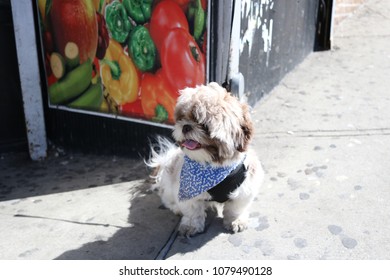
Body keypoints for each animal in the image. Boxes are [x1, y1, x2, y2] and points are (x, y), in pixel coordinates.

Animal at [148, 81, 264, 236]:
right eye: (182, 118)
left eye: (203, 124)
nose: (186, 126)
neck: (213, 166)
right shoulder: (185, 190)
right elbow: (192, 211)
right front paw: (190, 225)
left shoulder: (245, 189)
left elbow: (236, 209)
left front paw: (236, 221)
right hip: (169, 183)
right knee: (168, 199)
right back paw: (176, 207)